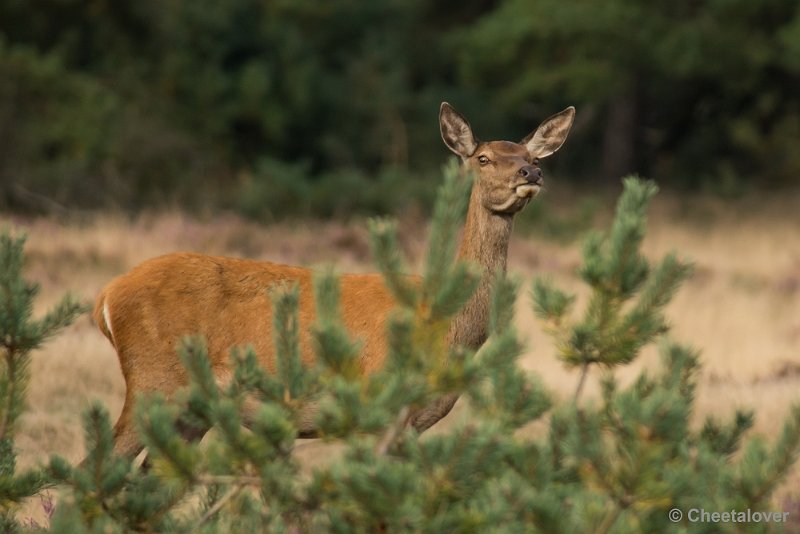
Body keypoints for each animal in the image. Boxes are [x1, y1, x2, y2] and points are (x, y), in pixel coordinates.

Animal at [94, 102, 576, 462]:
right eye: (483, 158)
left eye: (533, 157)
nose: (530, 174)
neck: (444, 324)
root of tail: (105, 299)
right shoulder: (378, 406)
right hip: (152, 381)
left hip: (191, 410)